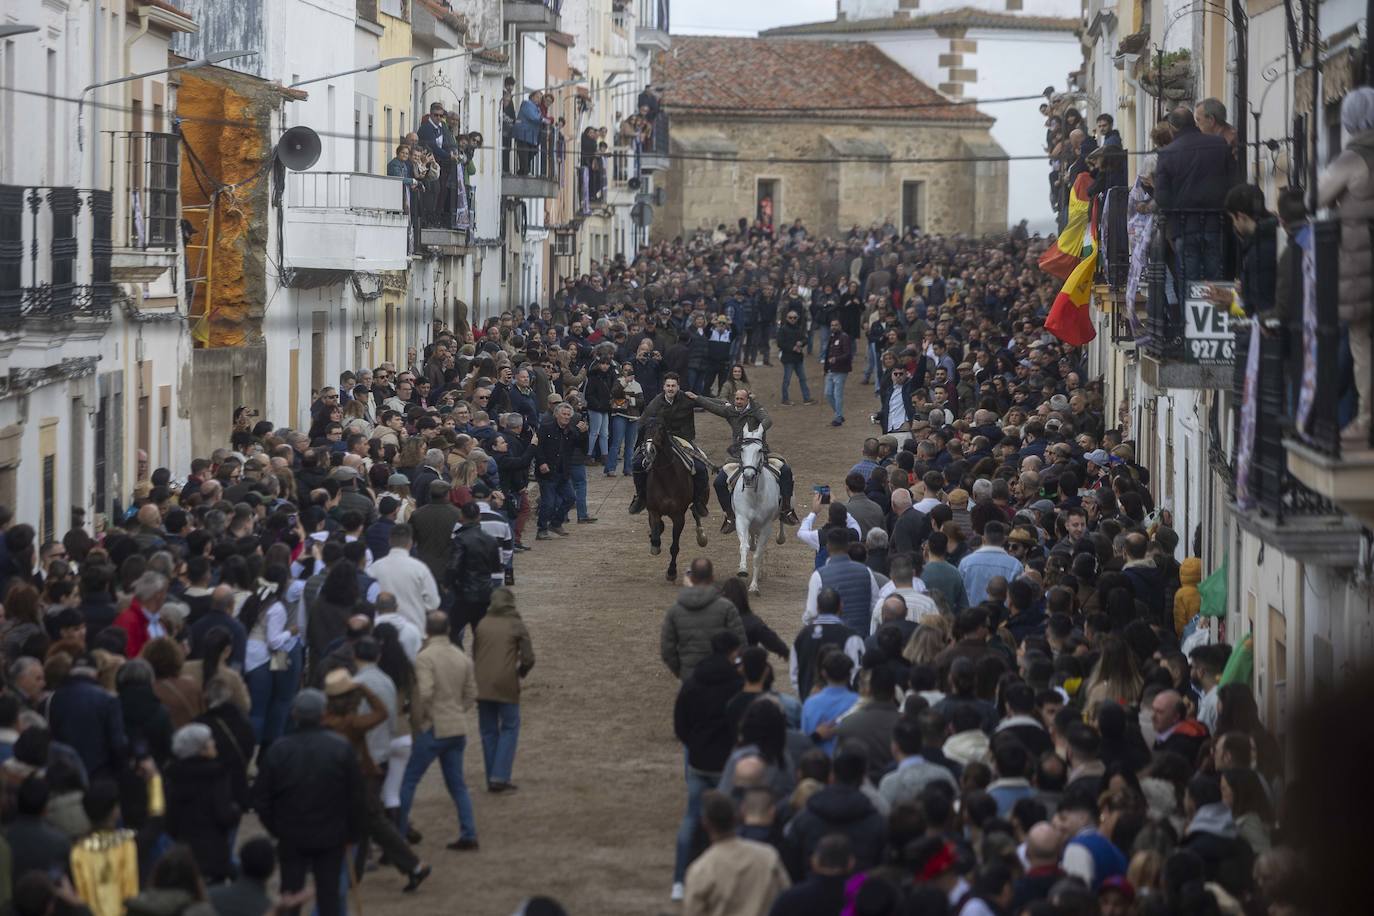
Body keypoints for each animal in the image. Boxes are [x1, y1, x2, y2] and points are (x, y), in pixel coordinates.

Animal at [643, 420, 708, 579]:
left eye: (661, 431)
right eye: (645, 430)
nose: (649, 451)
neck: (666, 477)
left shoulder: (678, 516)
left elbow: (674, 547)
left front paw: (671, 571)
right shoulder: (653, 511)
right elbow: (656, 534)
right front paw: (655, 542)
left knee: (696, 511)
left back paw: (701, 535)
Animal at [730, 422, 785, 596]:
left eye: (760, 450)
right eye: (742, 449)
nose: (748, 476)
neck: (754, 496)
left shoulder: (766, 526)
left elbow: (758, 555)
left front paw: (754, 586)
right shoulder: (741, 520)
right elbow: (744, 546)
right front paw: (742, 570)